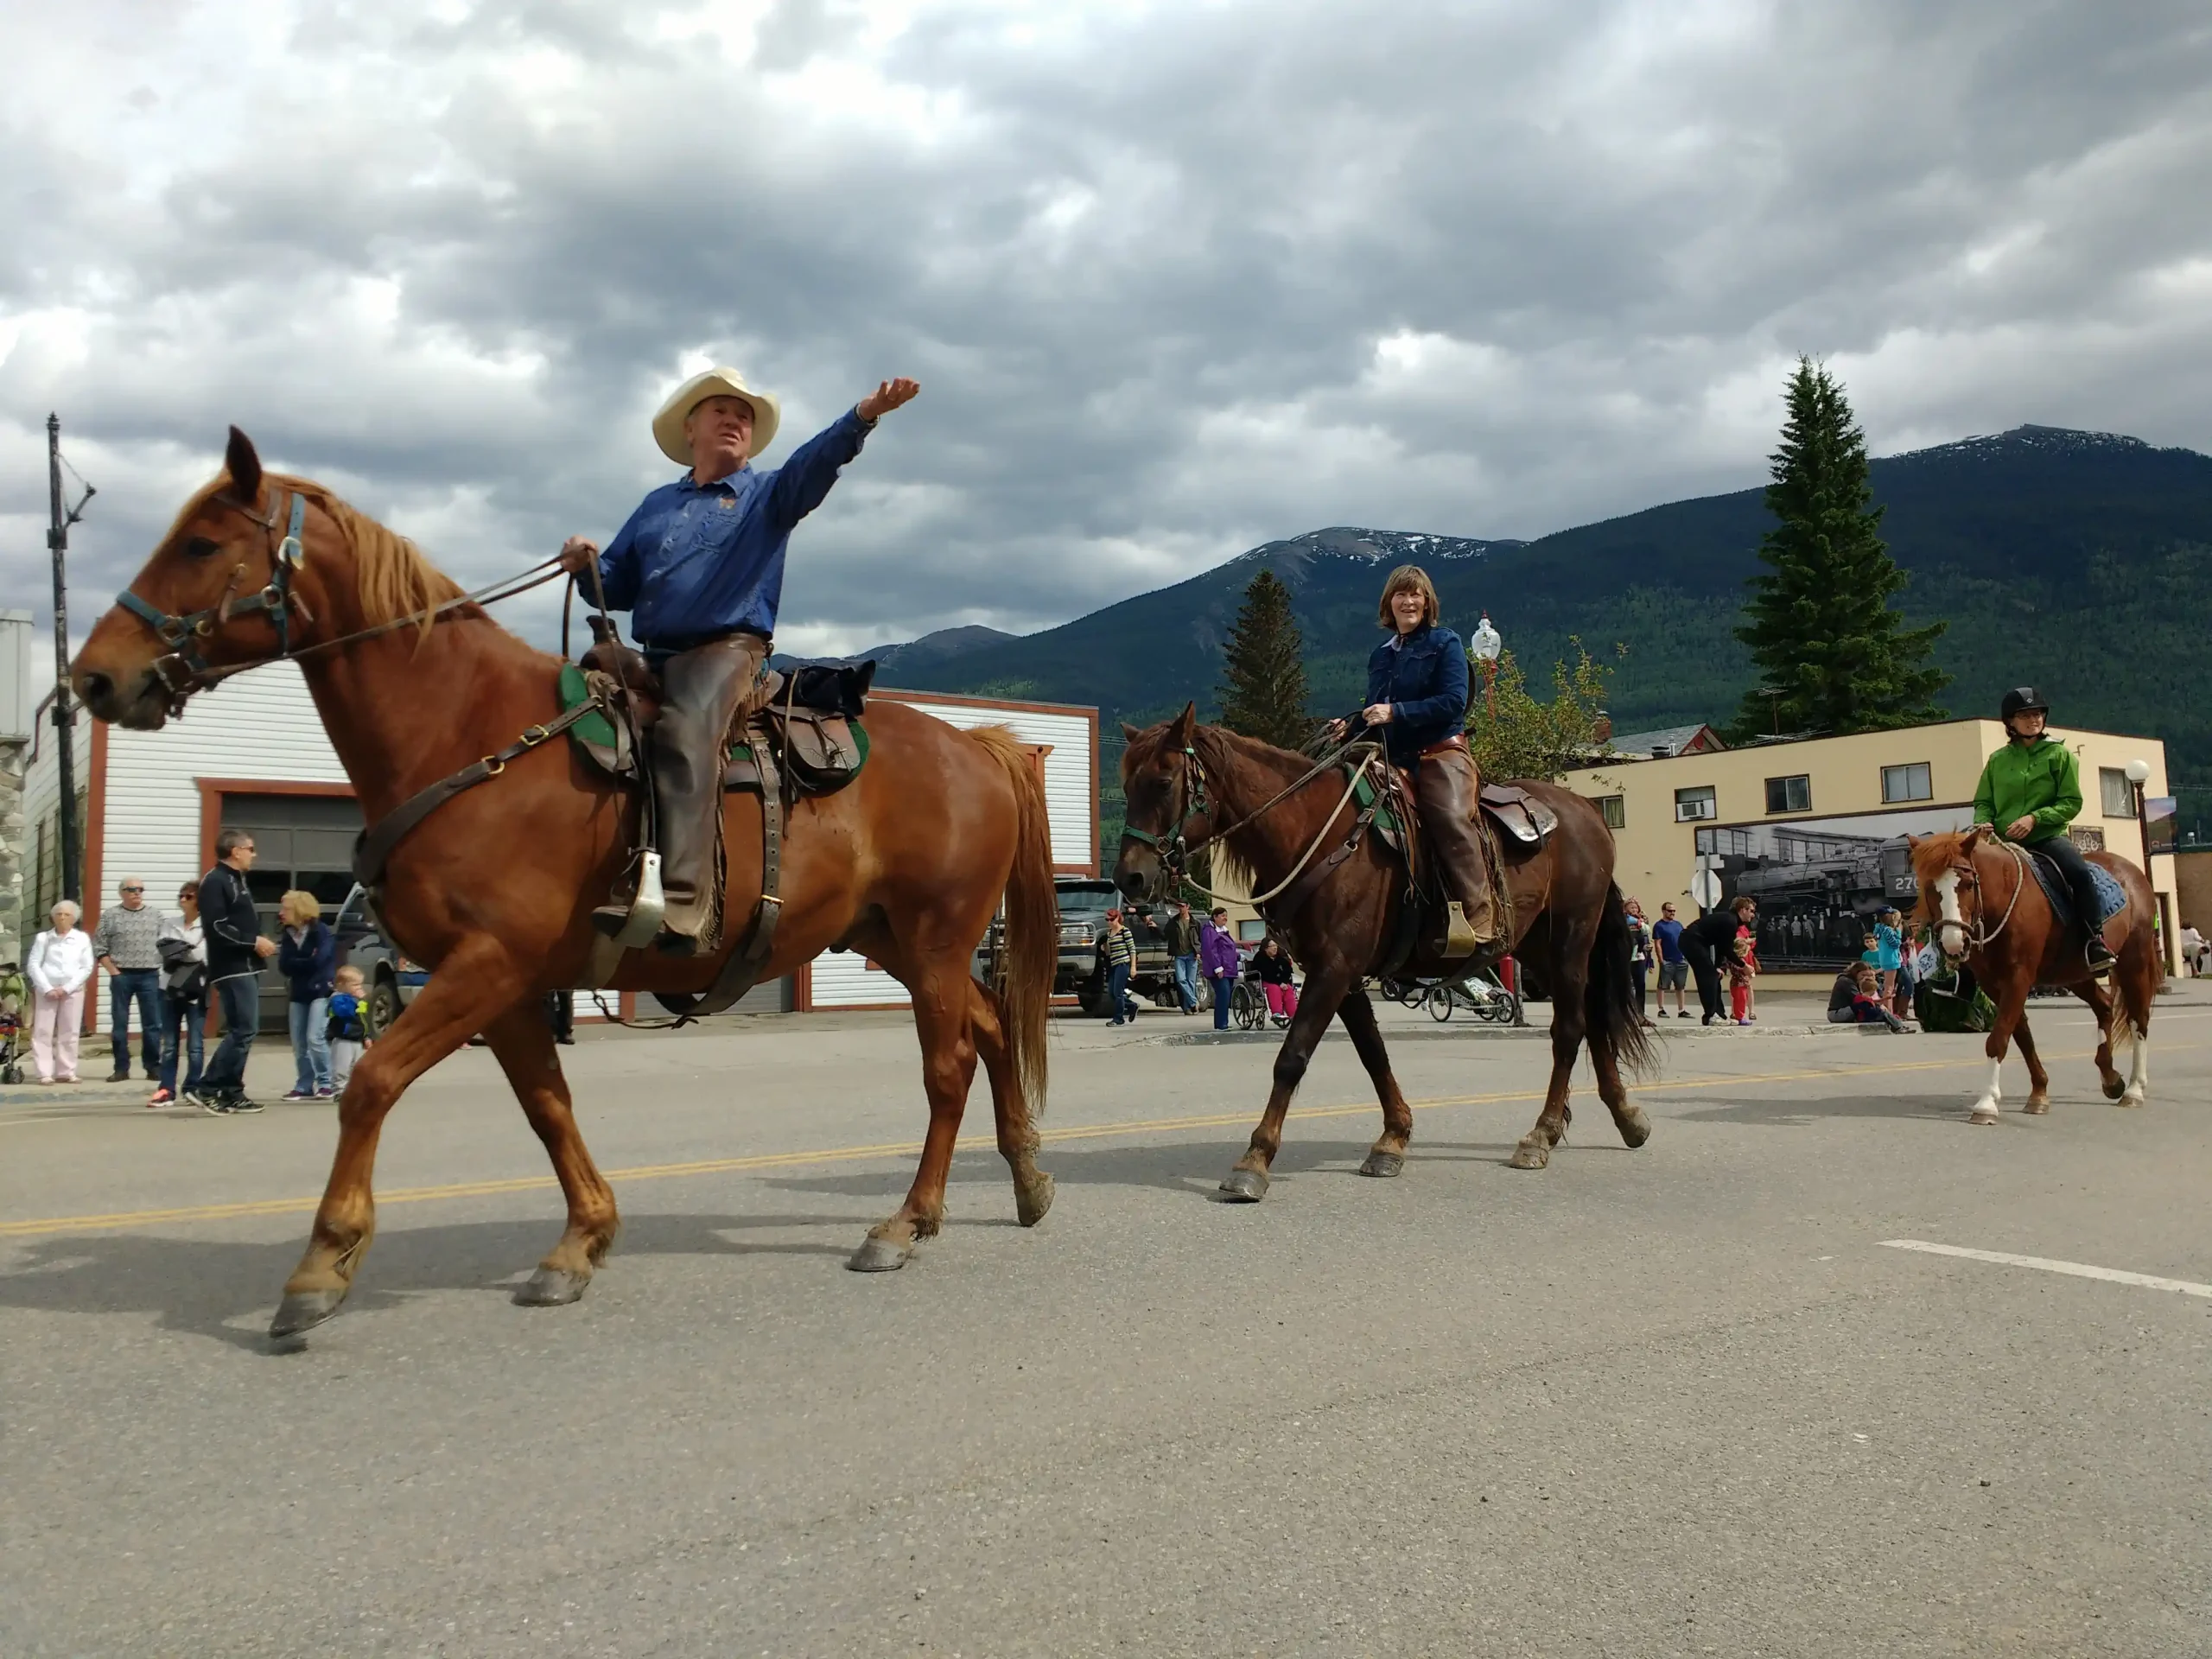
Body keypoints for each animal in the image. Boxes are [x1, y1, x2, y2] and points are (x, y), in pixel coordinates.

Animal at [69, 429, 1061, 1336]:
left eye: (200, 545)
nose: (93, 678)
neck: (466, 732)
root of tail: (976, 744)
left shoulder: (484, 963)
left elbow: (371, 1082)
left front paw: (322, 1264)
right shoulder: (504, 983)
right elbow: (547, 1105)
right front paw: (581, 1241)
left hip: (934, 935)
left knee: (947, 1064)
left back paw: (905, 1222)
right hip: (890, 937)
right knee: (986, 1026)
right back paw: (1027, 1179)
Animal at [1115, 708, 1654, 1203]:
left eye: (1163, 782)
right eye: (1126, 786)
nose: (1130, 878)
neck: (1315, 836)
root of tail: (1588, 813)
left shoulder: (1334, 968)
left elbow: (1291, 1058)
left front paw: (1254, 1160)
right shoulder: (1342, 973)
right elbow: (1373, 1053)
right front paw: (1393, 1139)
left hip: (1570, 940)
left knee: (1569, 1030)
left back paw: (1541, 1134)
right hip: (1539, 947)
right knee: (1593, 1019)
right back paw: (1627, 1117)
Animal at [1902, 827, 2158, 1123]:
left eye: (1967, 884)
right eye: (1930, 888)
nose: (1954, 943)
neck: (2002, 903)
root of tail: (2132, 872)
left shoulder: (2018, 977)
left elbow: (1999, 1038)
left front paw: (1986, 1104)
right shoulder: (1993, 984)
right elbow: (2021, 1036)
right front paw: (2039, 1094)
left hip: (2133, 962)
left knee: (2138, 1020)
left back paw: (2134, 1089)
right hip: (2074, 973)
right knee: (2104, 1006)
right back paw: (2111, 1079)